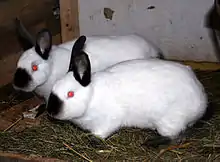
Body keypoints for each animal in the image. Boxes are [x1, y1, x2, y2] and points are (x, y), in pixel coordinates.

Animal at [46, 36, 208, 147]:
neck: (91, 96)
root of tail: (201, 99)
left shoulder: (108, 120)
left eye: (70, 94)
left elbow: (102, 132)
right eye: (54, 86)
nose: (51, 112)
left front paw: (92, 140)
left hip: (170, 121)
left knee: (173, 135)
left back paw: (151, 142)